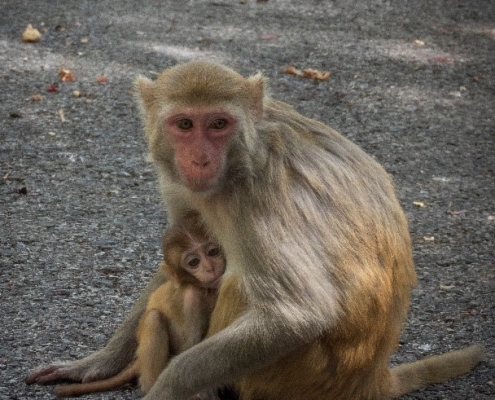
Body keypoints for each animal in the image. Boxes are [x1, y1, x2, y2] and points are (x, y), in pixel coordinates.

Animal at [53, 211, 225, 398]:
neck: (207, 290)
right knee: (153, 319)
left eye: (213, 252)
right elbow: (189, 345)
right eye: (194, 262)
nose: (210, 267)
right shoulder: (191, 298)